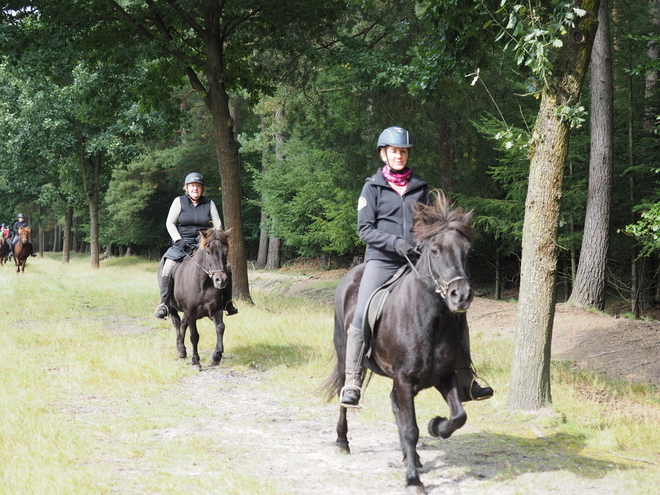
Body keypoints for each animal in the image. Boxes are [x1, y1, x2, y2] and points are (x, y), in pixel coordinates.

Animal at [157, 227, 232, 370]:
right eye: (208, 252)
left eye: (226, 251)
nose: (220, 280)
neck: (202, 283)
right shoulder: (190, 312)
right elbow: (194, 336)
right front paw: (196, 362)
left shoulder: (216, 310)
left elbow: (220, 328)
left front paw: (216, 357)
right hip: (172, 307)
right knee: (177, 323)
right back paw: (181, 349)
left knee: (183, 324)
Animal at [324, 191, 474, 495]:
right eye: (435, 250)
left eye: (467, 250)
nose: (460, 295)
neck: (429, 320)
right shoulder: (404, 379)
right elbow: (410, 429)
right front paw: (413, 480)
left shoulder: (445, 375)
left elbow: (457, 416)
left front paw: (435, 426)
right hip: (345, 354)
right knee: (345, 397)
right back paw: (342, 441)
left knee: (396, 407)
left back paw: (411, 456)